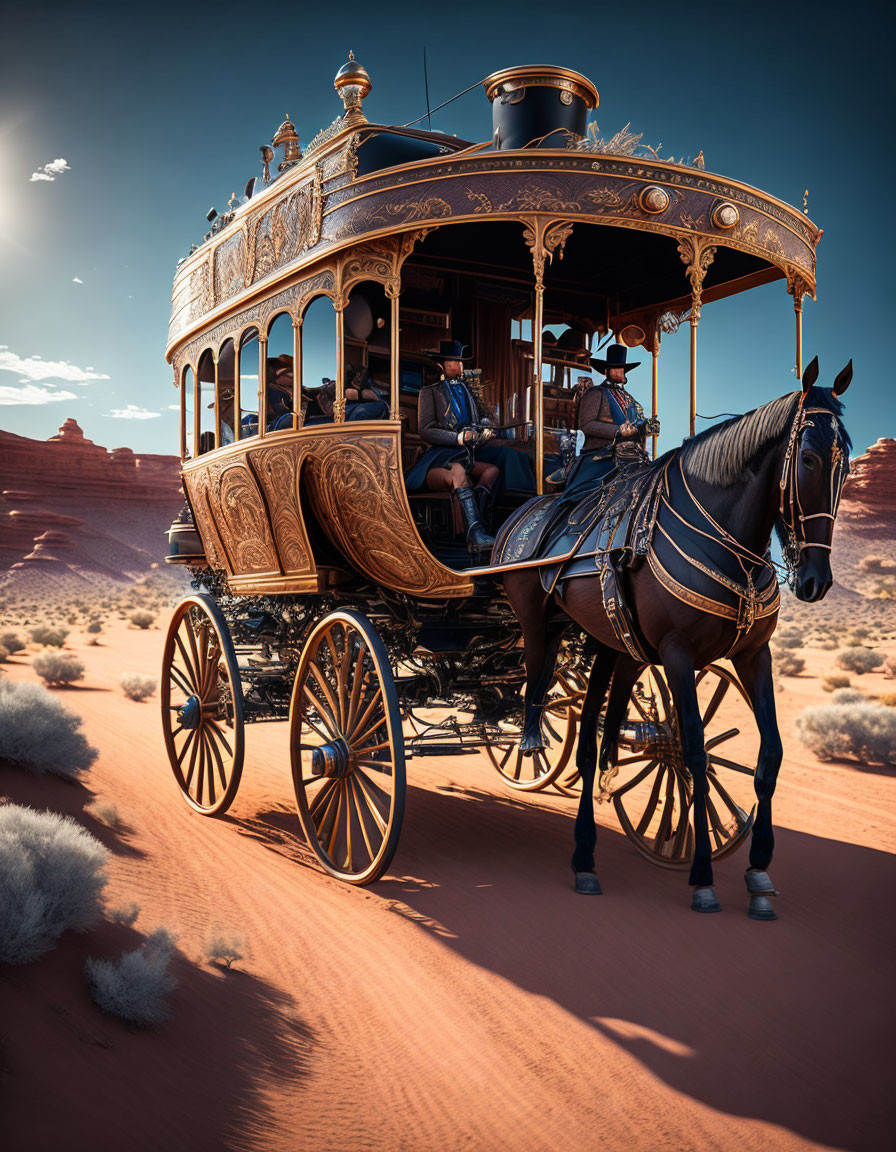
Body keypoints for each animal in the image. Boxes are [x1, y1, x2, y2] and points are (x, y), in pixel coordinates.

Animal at [502, 359, 852, 916]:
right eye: (811, 458)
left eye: (848, 465)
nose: (816, 580)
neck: (729, 543)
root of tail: (522, 514)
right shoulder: (677, 654)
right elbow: (695, 754)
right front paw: (703, 877)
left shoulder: (754, 655)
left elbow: (770, 754)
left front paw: (758, 871)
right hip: (537, 622)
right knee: (536, 684)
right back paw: (532, 742)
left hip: (610, 643)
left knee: (590, 738)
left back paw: (585, 857)